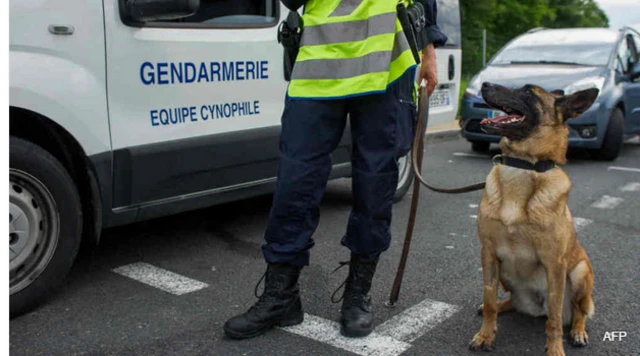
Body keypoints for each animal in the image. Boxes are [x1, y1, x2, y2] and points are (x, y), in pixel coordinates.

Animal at [470, 82, 600, 354]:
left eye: (528, 91)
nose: (485, 84)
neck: (523, 166)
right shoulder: (489, 253)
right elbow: (489, 298)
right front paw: (486, 334)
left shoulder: (555, 264)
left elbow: (554, 321)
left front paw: (555, 349)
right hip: (505, 274)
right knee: (510, 301)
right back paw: (499, 307)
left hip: (581, 271)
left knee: (577, 311)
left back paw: (577, 331)